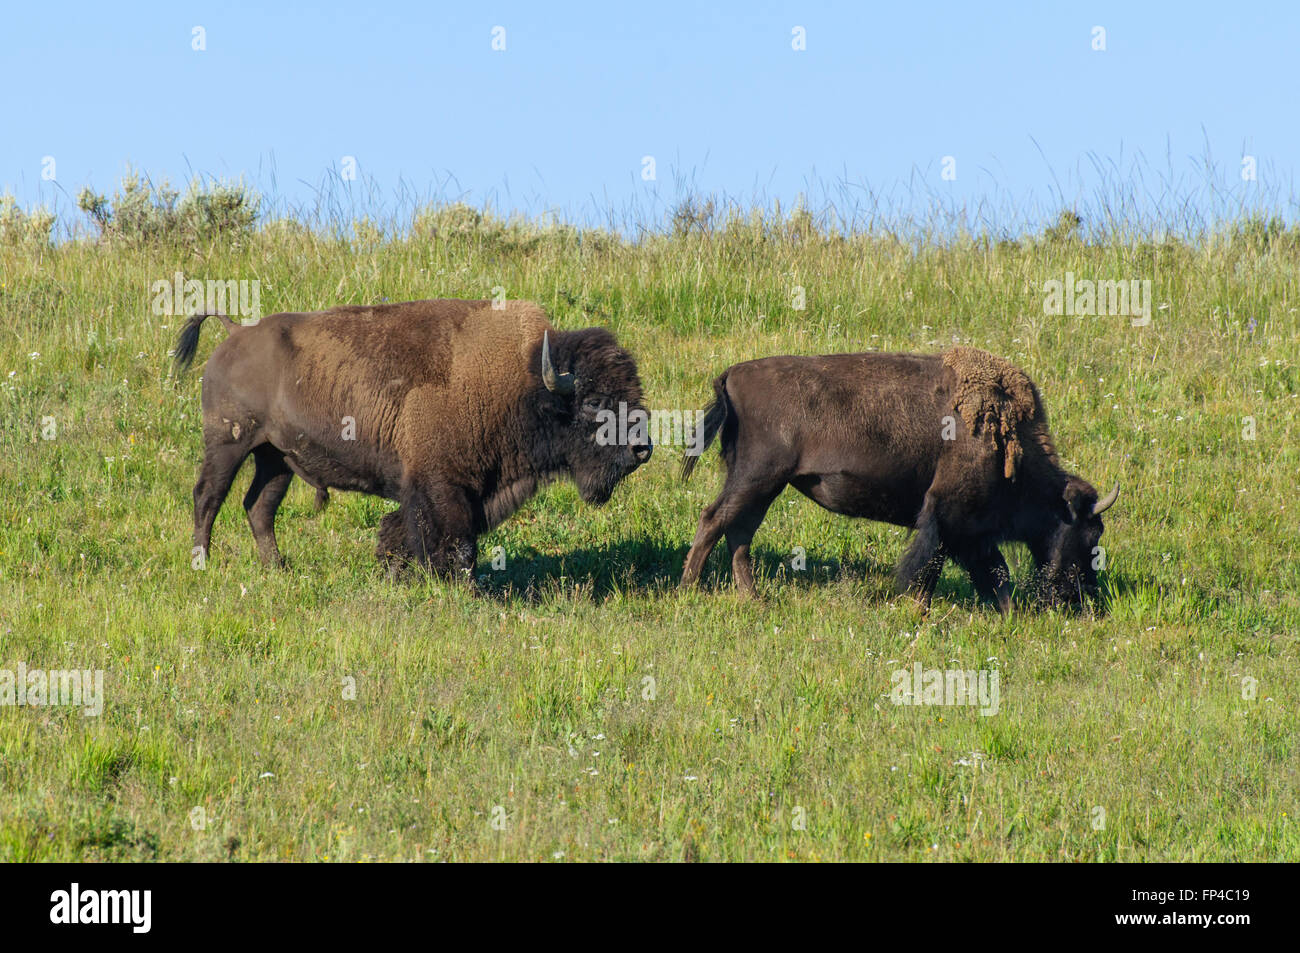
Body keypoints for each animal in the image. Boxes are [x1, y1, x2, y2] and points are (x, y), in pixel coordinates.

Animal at [172, 301, 655, 577]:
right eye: (593, 401)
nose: (642, 449)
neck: (526, 381)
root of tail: (236, 332)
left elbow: (412, 530)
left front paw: (394, 569)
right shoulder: (440, 484)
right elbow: (453, 540)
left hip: (275, 458)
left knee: (259, 506)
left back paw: (278, 569)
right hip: (229, 444)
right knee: (207, 498)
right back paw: (202, 565)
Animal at [681, 348, 1118, 608]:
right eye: (1090, 533)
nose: (1082, 597)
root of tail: (732, 375)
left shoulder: (969, 532)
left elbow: (992, 573)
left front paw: (1006, 612)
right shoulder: (947, 518)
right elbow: (931, 567)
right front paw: (919, 608)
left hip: (765, 487)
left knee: (738, 532)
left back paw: (752, 598)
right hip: (757, 477)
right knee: (714, 520)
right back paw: (689, 589)